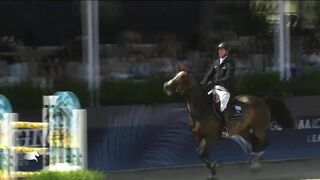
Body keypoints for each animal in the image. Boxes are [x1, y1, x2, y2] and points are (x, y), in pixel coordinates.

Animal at [164, 70, 294, 179]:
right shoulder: (199, 136)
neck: (202, 108)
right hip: (243, 130)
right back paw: (253, 161)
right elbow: (202, 154)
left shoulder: (212, 137)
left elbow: (201, 152)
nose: (166, 86)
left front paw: (214, 167)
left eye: (182, 77)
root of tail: (261, 100)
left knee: (264, 141)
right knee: (254, 142)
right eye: (176, 75)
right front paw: (212, 170)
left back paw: (256, 161)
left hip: (259, 128)